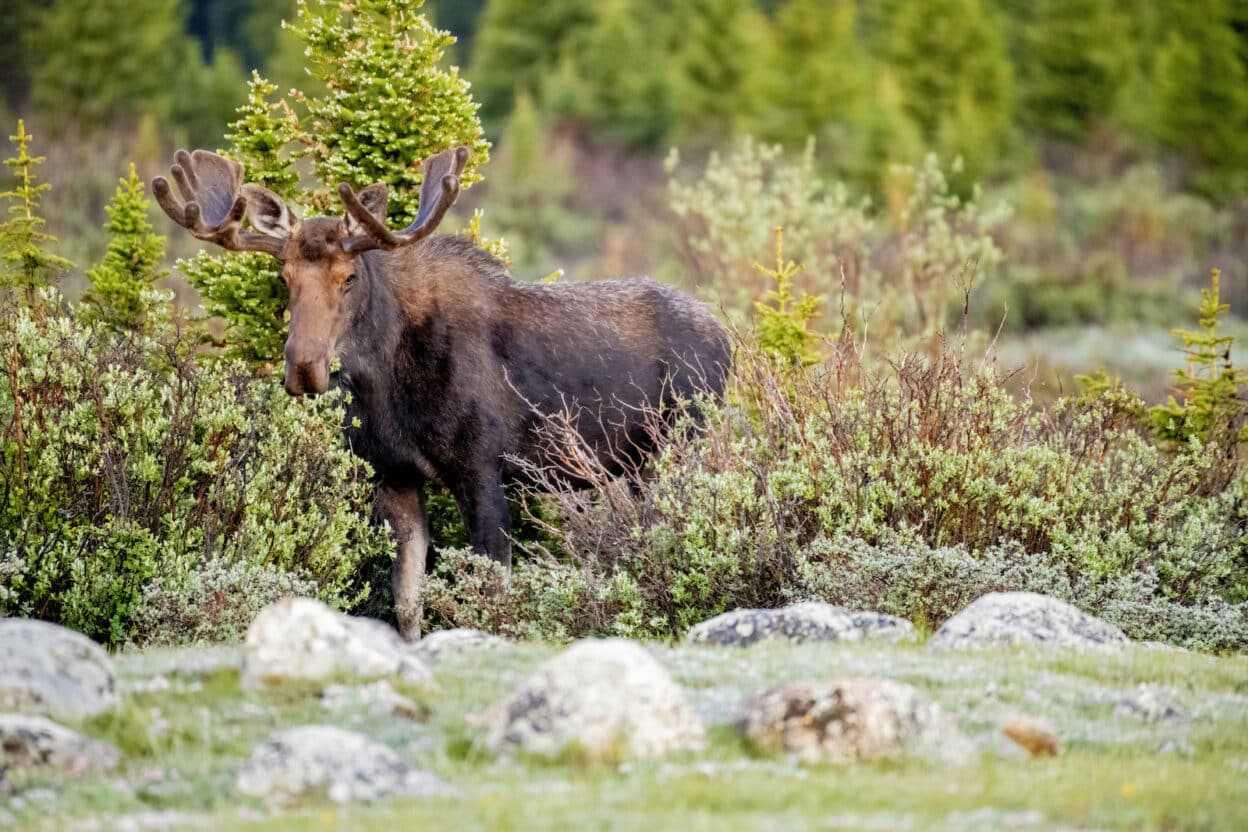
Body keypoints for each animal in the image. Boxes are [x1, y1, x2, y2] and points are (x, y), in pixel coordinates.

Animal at [152, 146, 730, 640]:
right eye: (285, 275)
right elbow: (408, 601)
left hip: (681, 442)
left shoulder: (482, 467)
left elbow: (492, 593)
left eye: (349, 276)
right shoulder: (394, 474)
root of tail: (730, 339)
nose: (304, 368)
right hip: (638, 464)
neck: (389, 390)